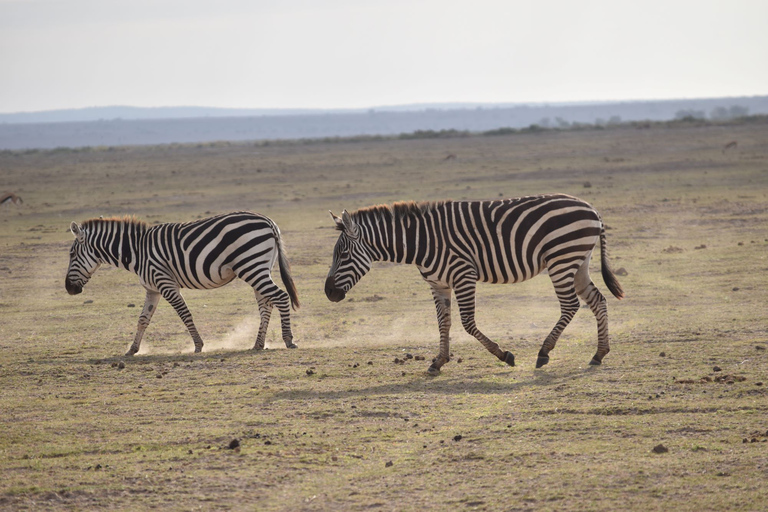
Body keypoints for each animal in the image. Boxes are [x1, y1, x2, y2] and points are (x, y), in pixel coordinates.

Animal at [64, 212, 298, 356]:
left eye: (72, 254)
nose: (69, 288)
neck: (137, 251)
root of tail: (269, 221)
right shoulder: (152, 289)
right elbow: (143, 319)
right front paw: (132, 349)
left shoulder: (165, 283)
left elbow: (184, 314)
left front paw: (198, 345)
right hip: (259, 267)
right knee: (266, 303)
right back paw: (258, 344)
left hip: (251, 266)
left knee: (280, 296)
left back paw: (288, 339)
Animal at [324, 194, 624, 374]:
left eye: (344, 255)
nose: (328, 292)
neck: (421, 242)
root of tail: (592, 208)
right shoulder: (438, 283)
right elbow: (443, 323)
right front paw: (438, 362)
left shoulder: (463, 274)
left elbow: (467, 323)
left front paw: (504, 355)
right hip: (578, 261)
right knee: (598, 300)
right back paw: (599, 354)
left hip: (562, 258)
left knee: (570, 305)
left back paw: (544, 352)